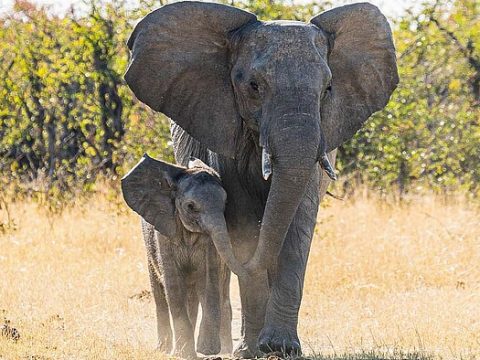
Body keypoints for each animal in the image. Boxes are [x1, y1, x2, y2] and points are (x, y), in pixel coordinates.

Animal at [121, 154, 248, 358]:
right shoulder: (164, 234)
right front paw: (185, 354)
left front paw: (206, 350)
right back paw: (164, 349)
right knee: (160, 294)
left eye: (225, 205)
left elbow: (208, 280)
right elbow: (174, 285)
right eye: (190, 206)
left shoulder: (209, 245)